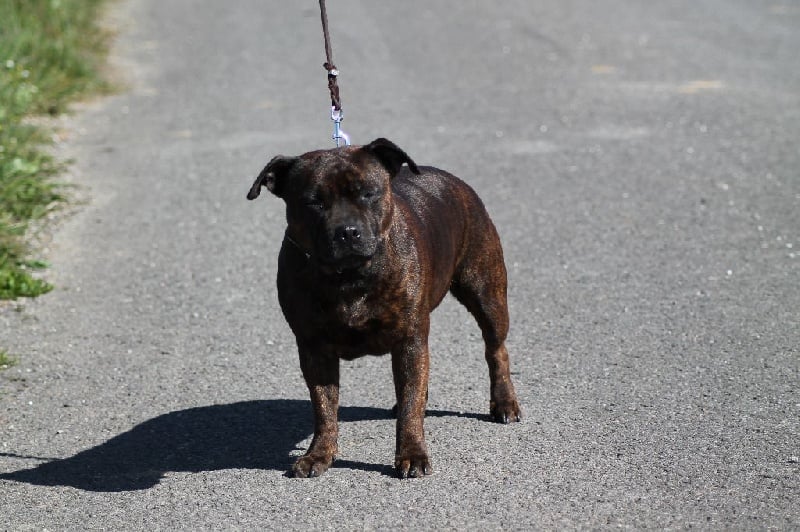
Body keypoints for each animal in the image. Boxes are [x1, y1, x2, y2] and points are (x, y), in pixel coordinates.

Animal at [247, 138, 521, 478]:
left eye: (368, 193)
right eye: (313, 202)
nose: (347, 231)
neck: (349, 277)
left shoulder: (409, 340)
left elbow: (410, 405)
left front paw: (412, 454)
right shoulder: (314, 349)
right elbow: (324, 406)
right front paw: (319, 454)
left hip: (487, 295)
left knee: (496, 350)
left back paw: (504, 403)